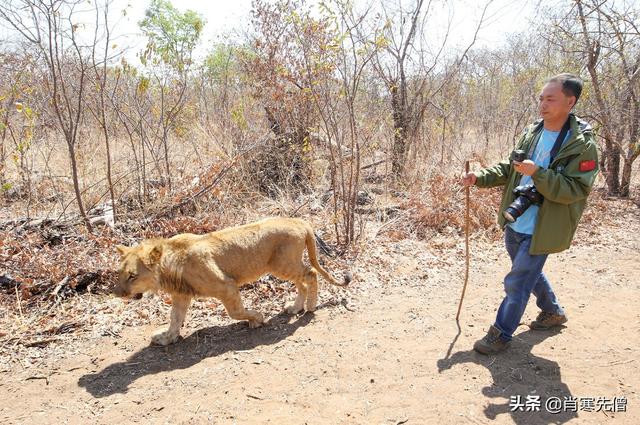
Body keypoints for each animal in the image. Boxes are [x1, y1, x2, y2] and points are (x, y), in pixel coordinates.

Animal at [114, 217, 350, 342]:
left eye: (133, 276)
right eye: (120, 273)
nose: (117, 293)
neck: (168, 265)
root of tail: (299, 220)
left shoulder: (225, 286)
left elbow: (235, 312)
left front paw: (257, 319)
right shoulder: (181, 294)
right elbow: (175, 318)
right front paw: (167, 339)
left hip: (283, 264)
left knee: (311, 274)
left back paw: (310, 307)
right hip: (283, 266)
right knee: (302, 281)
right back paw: (294, 308)